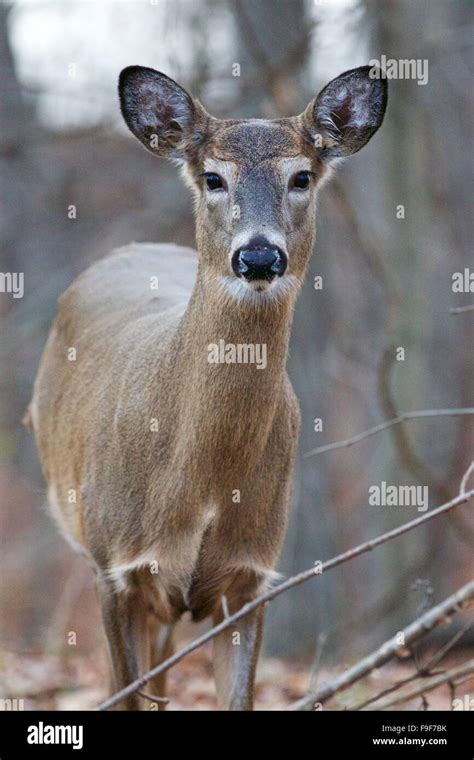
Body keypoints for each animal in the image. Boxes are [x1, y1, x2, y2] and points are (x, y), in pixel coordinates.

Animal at [26, 62, 386, 708]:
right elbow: (127, 692)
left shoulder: (250, 575)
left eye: (301, 175)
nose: (260, 256)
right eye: (213, 178)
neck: (203, 482)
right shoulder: (114, 566)